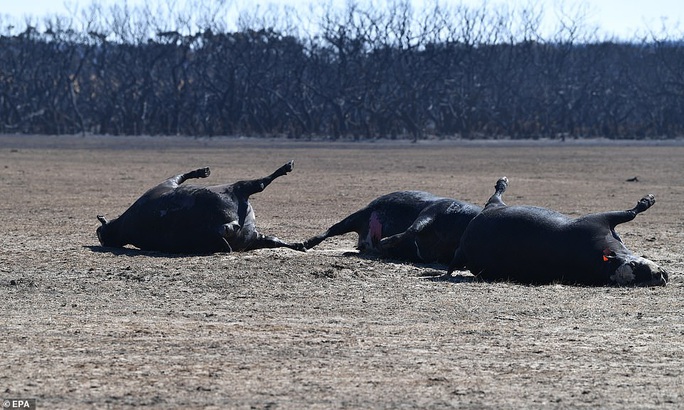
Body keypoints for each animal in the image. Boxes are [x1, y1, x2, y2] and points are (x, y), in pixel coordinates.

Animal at [95, 160, 304, 253]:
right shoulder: (168, 182)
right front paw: (202, 171)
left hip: (253, 238)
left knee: (279, 242)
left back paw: (308, 242)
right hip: (240, 189)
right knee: (260, 184)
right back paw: (286, 167)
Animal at [304, 191, 480, 264]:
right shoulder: (434, 210)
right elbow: (413, 228)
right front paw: (386, 241)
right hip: (358, 215)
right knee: (332, 229)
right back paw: (304, 244)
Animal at [448, 178, 668, 286]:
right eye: (634, 266)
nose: (659, 276)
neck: (602, 262)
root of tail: (463, 249)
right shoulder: (600, 221)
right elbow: (633, 212)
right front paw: (648, 199)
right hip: (494, 204)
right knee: (496, 194)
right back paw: (502, 182)